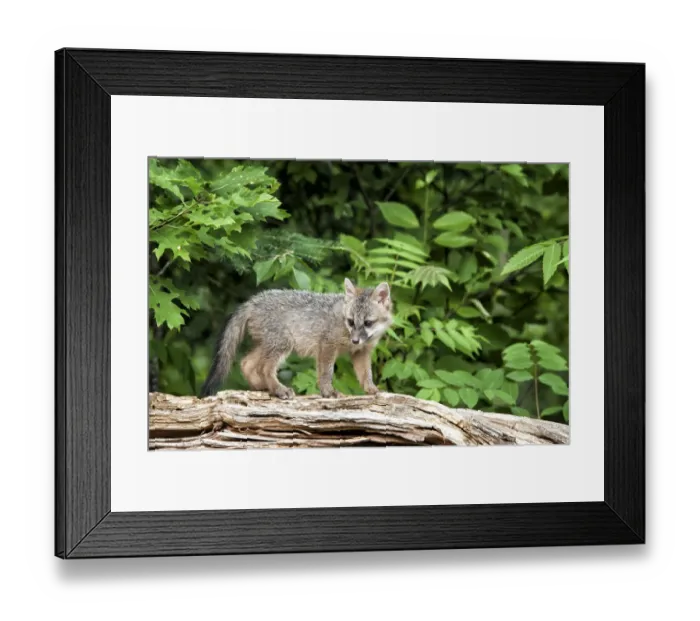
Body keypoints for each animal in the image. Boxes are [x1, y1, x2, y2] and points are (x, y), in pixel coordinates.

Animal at [199, 279, 393, 399]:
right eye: (351, 321)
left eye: (368, 323)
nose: (355, 340)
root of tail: (253, 300)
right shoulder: (327, 345)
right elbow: (326, 373)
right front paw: (328, 392)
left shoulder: (361, 352)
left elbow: (366, 374)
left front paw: (372, 390)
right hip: (283, 344)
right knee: (264, 368)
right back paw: (279, 390)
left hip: (268, 345)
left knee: (246, 363)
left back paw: (264, 387)